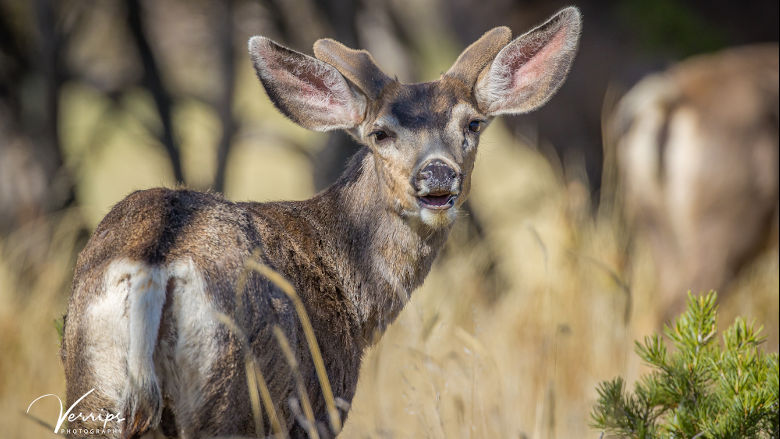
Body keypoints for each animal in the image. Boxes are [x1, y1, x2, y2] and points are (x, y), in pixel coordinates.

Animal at [61, 6, 580, 439]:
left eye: (472, 124)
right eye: (380, 133)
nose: (436, 175)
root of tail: (155, 263)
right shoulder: (321, 406)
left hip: (92, 391)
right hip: (231, 397)